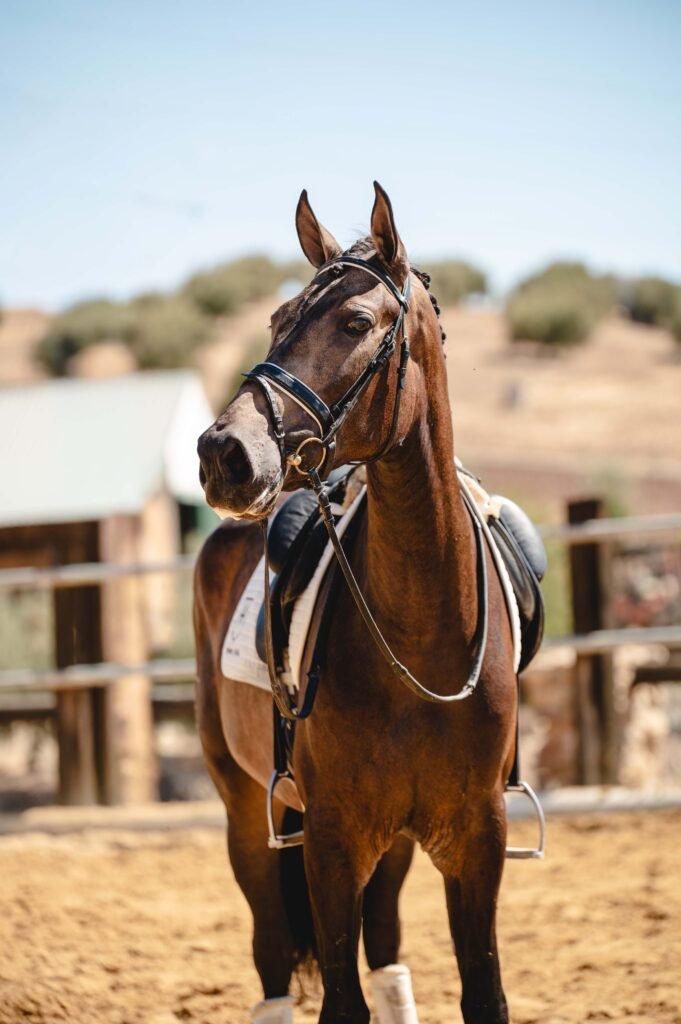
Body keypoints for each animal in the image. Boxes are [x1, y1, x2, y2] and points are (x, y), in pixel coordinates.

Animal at [194, 183, 517, 1024]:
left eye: (353, 324)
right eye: (277, 319)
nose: (222, 454)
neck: (422, 638)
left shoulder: (476, 839)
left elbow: (483, 991)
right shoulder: (333, 840)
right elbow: (340, 998)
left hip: (395, 843)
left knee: (388, 946)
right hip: (246, 810)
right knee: (273, 955)